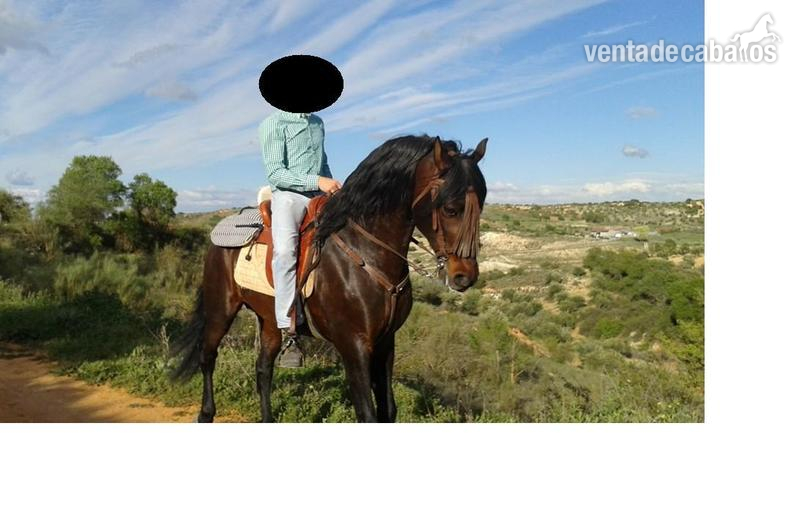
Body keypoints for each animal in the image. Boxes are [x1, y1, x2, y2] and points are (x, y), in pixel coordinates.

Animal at [170, 135, 488, 422]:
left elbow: (388, 411)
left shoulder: (386, 342)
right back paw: (206, 414)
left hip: (269, 319)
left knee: (263, 369)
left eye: (481, 204)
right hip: (220, 310)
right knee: (207, 357)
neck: (366, 253)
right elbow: (367, 414)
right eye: (450, 209)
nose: (464, 276)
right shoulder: (354, 345)